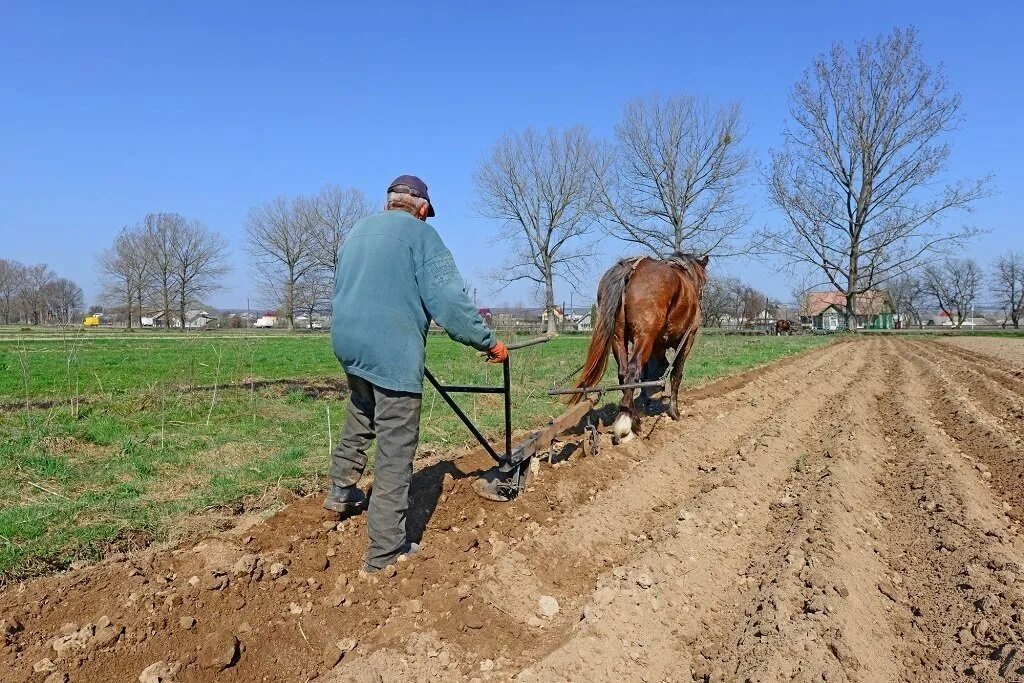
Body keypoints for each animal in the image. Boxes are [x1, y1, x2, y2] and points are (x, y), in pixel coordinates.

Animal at [573, 253, 708, 446]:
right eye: (704, 280)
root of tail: (631, 268)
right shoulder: (687, 338)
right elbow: (676, 374)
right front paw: (674, 411)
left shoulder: (657, 345)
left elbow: (656, 370)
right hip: (645, 336)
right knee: (633, 370)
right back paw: (627, 422)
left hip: (619, 337)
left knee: (624, 373)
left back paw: (632, 416)